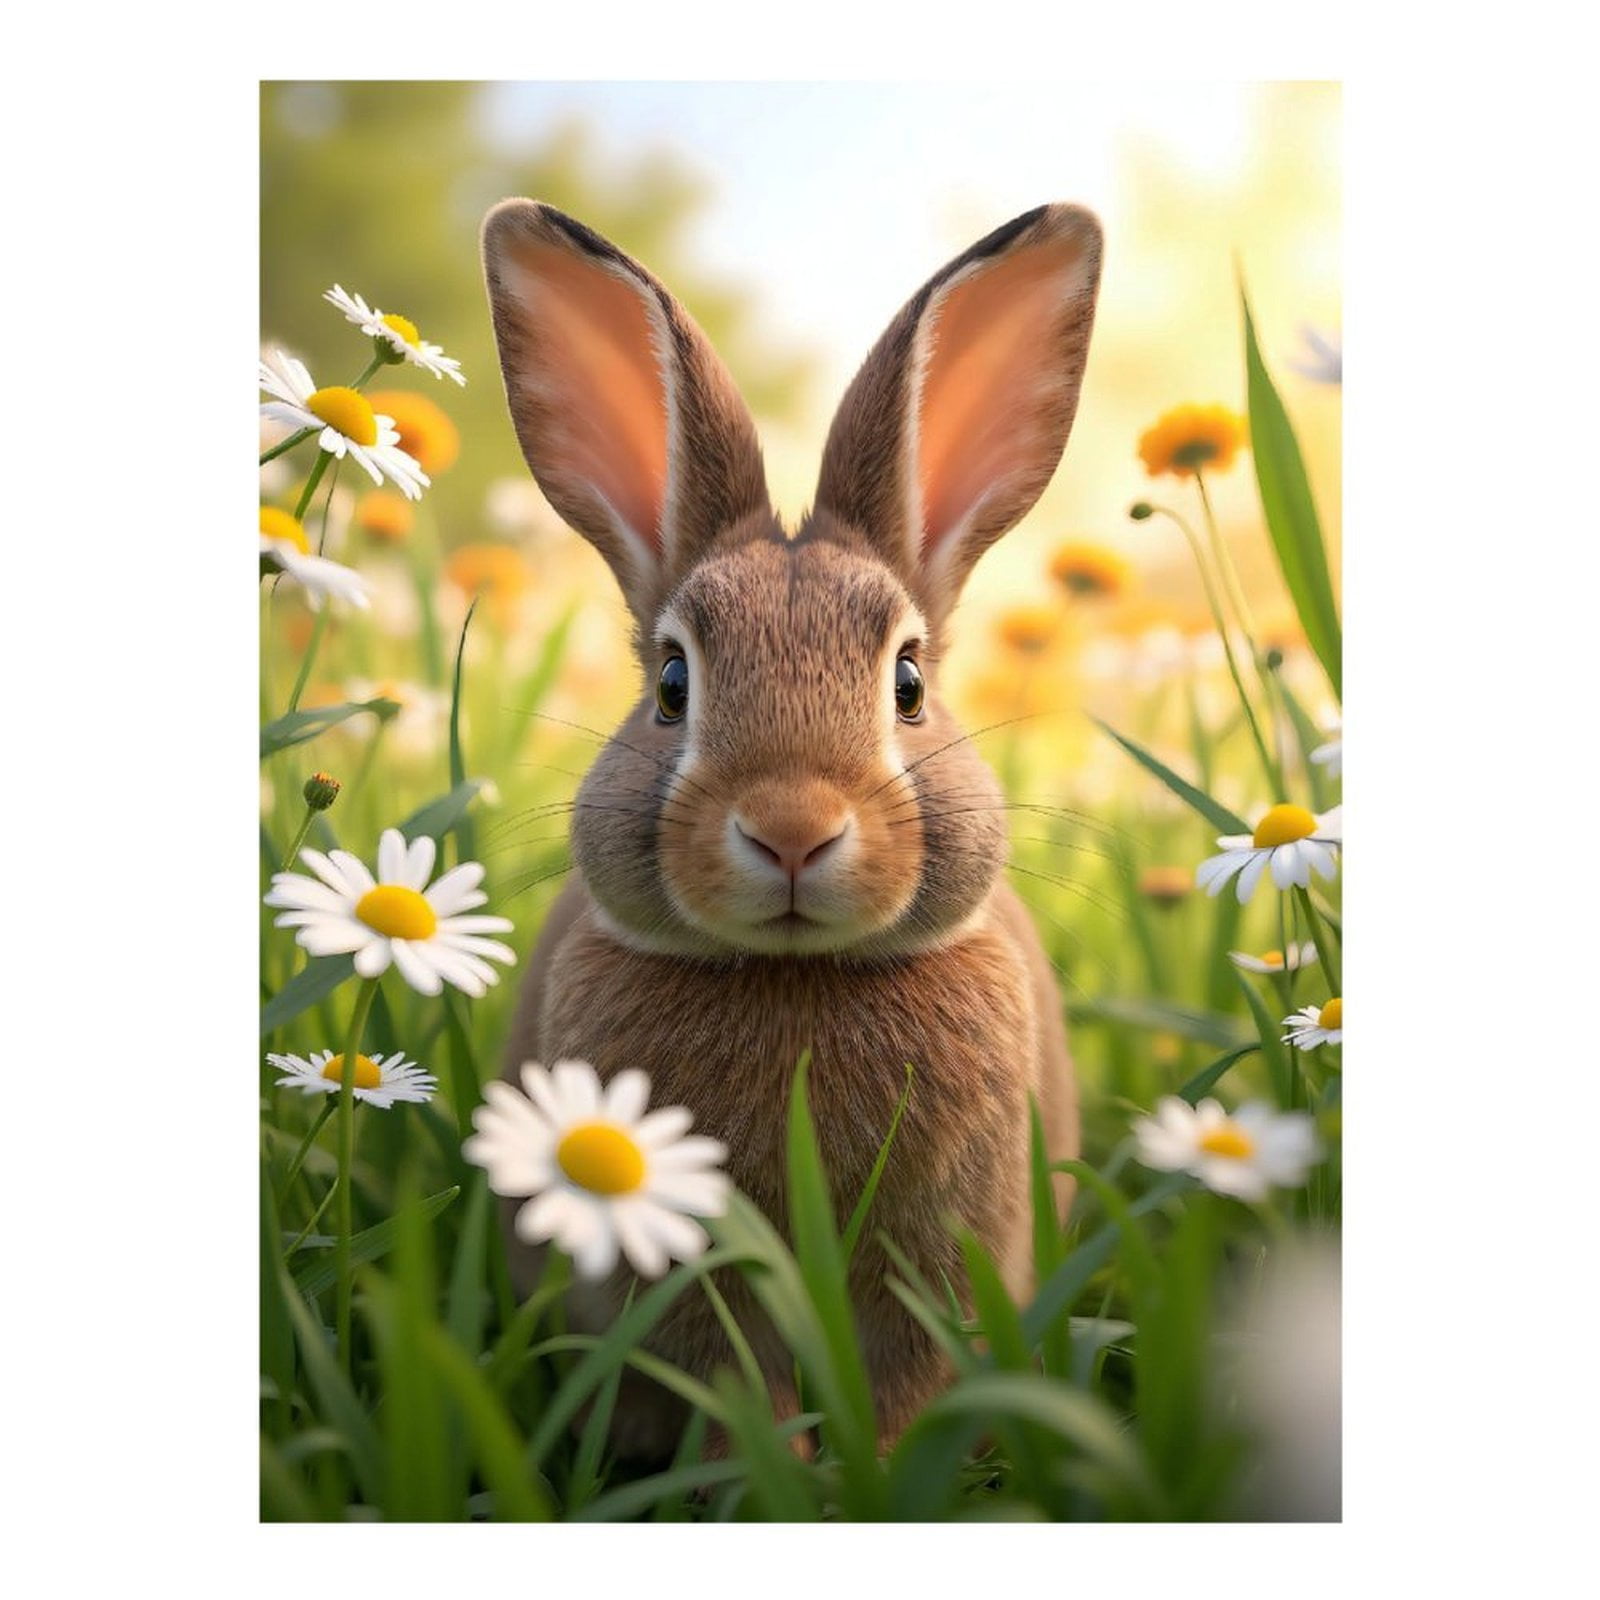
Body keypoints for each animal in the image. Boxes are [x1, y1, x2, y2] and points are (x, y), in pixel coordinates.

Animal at [481, 197, 1102, 1461]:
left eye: (907, 681)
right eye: (673, 684)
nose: (791, 832)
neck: (796, 975)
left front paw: (874, 1466)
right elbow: (727, 1387)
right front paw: (768, 1469)